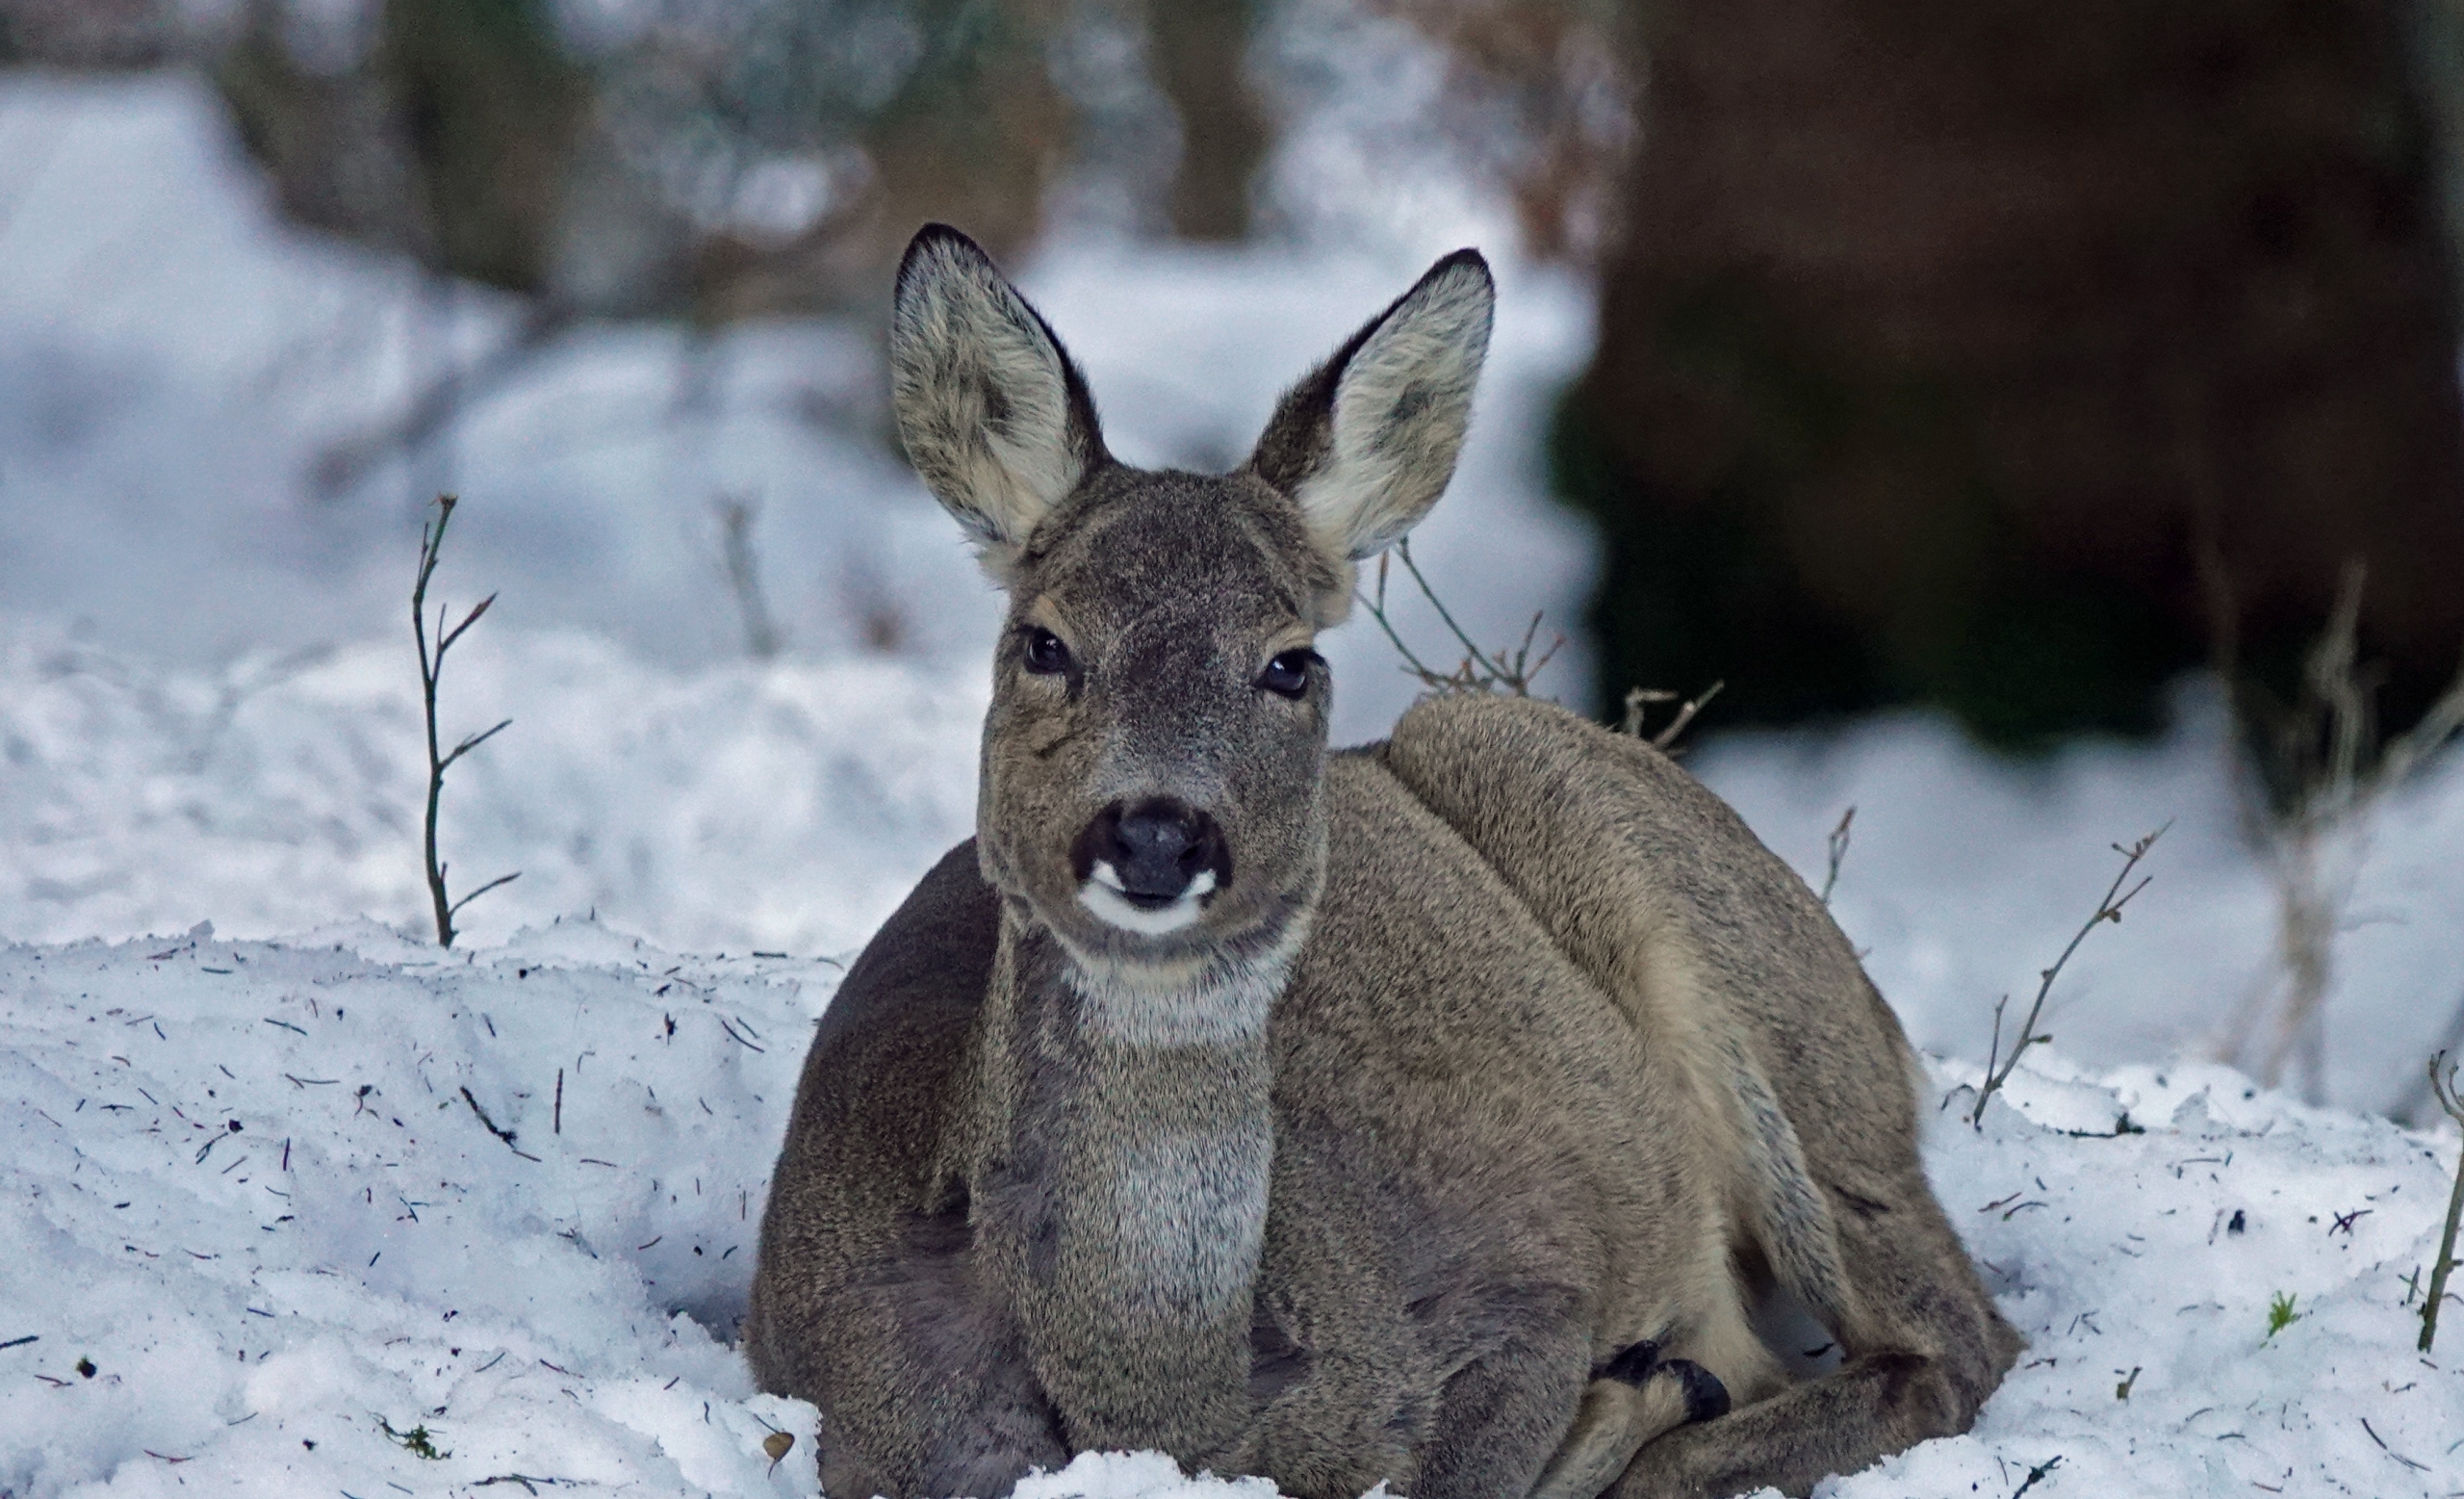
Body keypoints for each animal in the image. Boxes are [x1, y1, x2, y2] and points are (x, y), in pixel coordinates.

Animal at [745, 224, 2023, 1499]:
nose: (1155, 831)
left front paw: (1635, 1393)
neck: (1169, 1413)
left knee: (1956, 1341)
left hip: (1691, 935)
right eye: (1043, 642)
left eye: (1290, 662)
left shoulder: (1521, 1290)